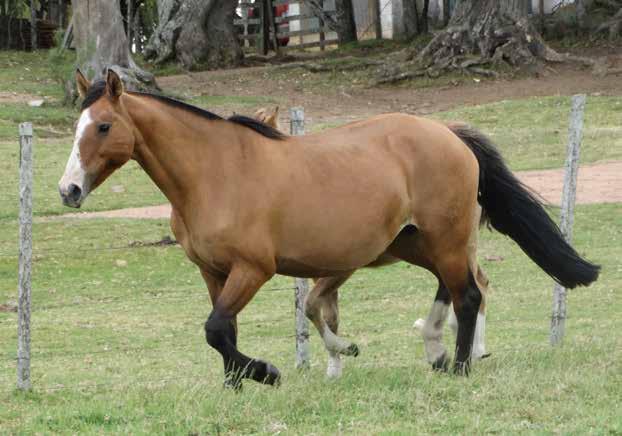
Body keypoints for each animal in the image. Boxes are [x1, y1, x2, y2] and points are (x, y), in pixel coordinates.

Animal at [61, 70, 604, 388]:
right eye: (76, 127)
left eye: (104, 127)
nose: (69, 190)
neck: (215, 173)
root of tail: (448, 133)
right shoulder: (213, 273)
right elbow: (225, 329)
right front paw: (235, 385)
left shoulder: (253, 269)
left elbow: (216, 328)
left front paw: (267, 372)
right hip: (415, 243)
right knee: (454, 289)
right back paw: (437, 351)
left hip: (443, 239)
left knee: (469, 295)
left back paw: (461, 365)